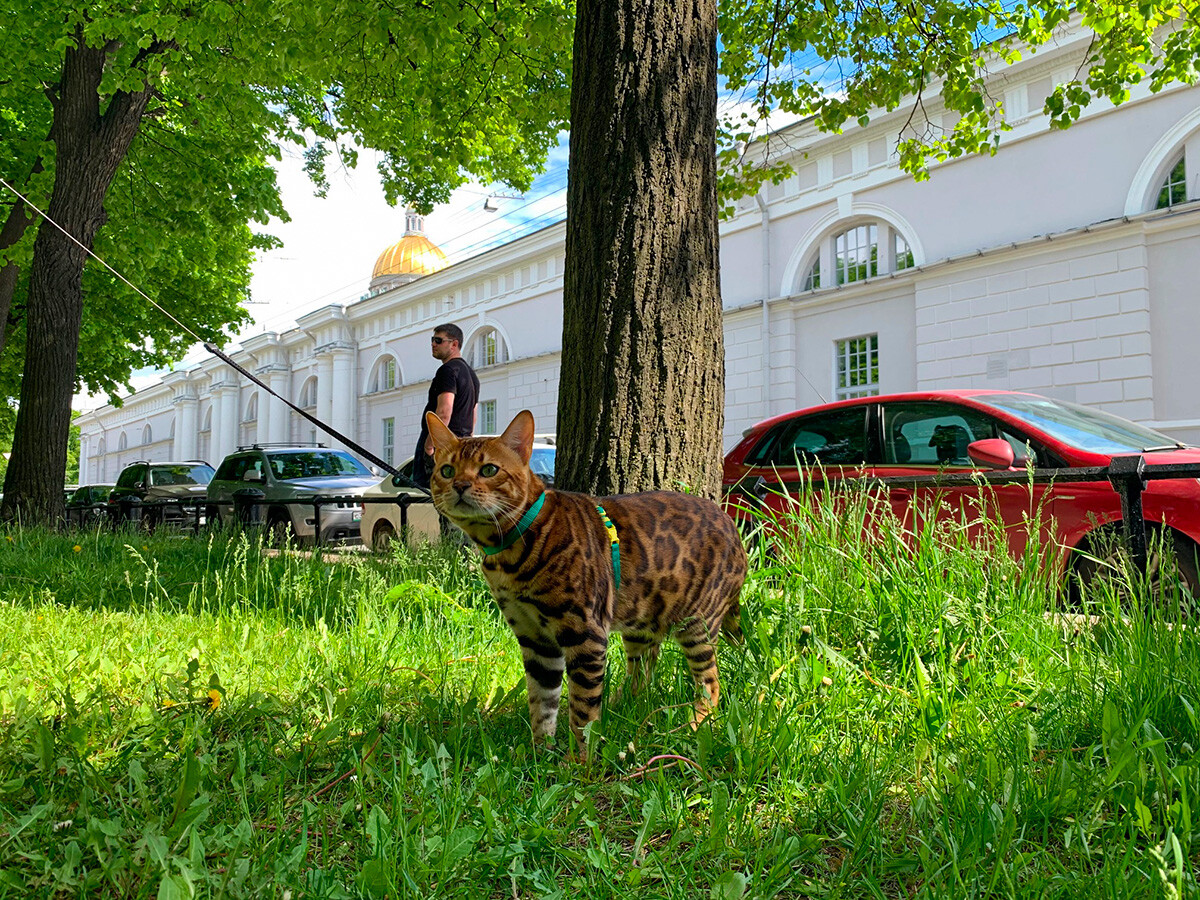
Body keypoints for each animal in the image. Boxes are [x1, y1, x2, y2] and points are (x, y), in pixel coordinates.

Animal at [427, 412, 744, 758]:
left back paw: (694, 725)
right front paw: (540, 753)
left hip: (697, 624)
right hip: (641, 623)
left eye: (488, 470)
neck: (513, 550)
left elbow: (582, 709)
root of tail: (731, 523)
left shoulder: (585, 633)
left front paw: (579, 759)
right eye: (447, 470)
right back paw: (622, 709)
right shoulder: (535, 639)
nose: (459, 485)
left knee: (710, 683)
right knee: (642, 675)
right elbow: (542, 702)